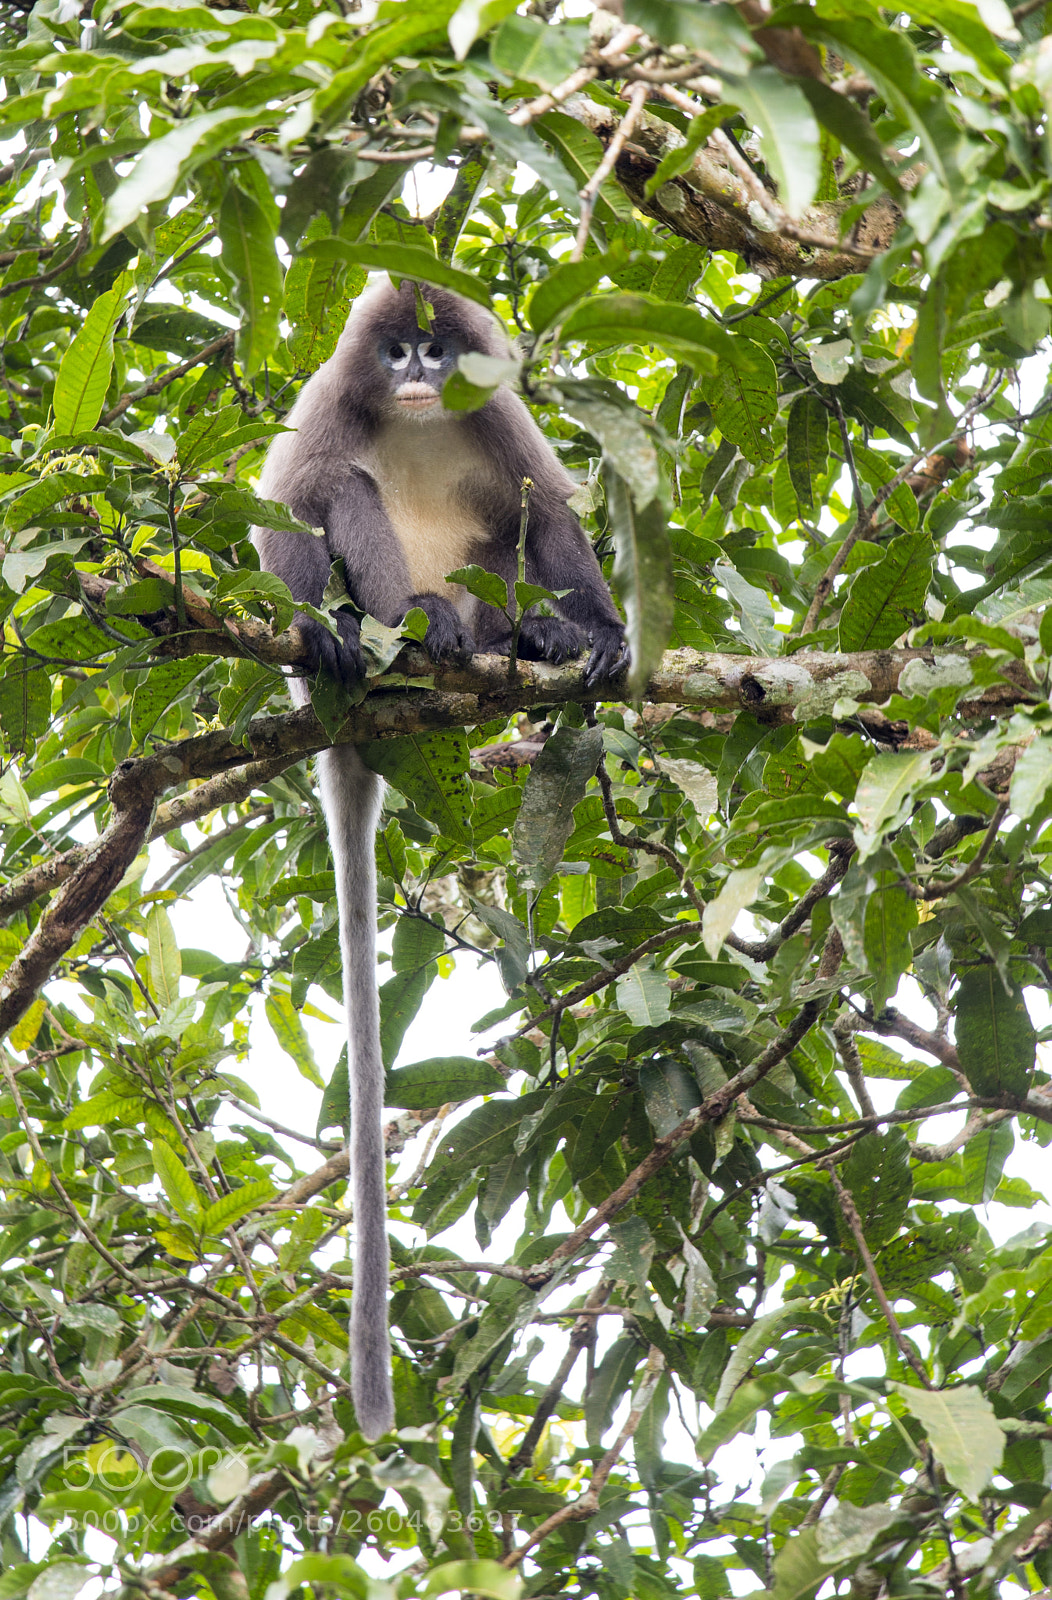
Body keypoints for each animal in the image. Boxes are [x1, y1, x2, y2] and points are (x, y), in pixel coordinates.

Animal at [253, 277, 626, 1441]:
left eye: (436, 349)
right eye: (395, 354)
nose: (417, 373)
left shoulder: (497, 410)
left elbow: (549, 503)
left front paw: (597, 633)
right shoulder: (332, 402)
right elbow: (295, 497)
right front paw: (323, 621)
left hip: (486, 589)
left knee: (508, 532)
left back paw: (526, 643)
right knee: (341, 492)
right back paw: (396, 636)